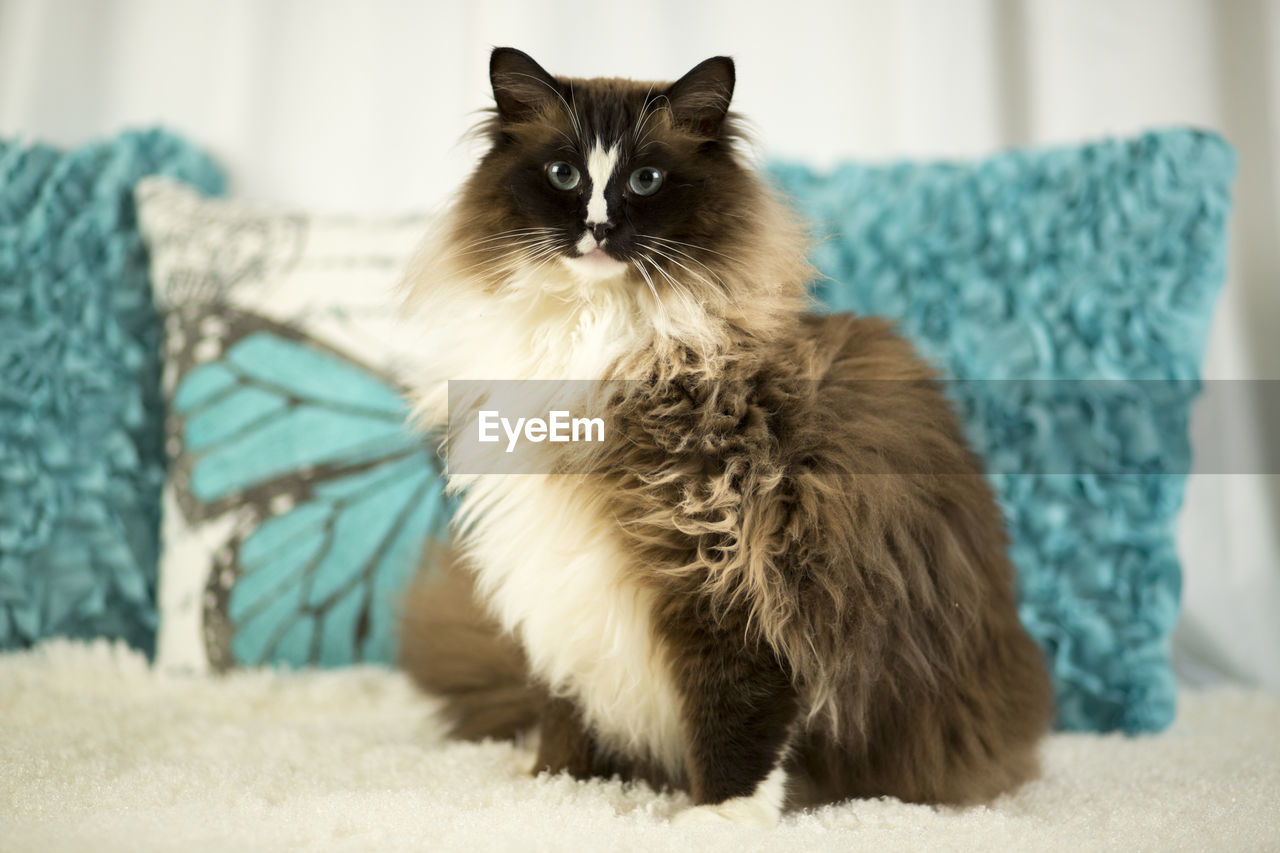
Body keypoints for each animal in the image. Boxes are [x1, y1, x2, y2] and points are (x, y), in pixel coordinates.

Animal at [396, 44, 1049, 824]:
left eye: (645, 180)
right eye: (564, 174)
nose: (599, 227)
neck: (597, 339)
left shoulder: (730, 564)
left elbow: (735, 709)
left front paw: (720, 818)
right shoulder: (564, 575)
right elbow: (567, 708)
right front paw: (554, 790)